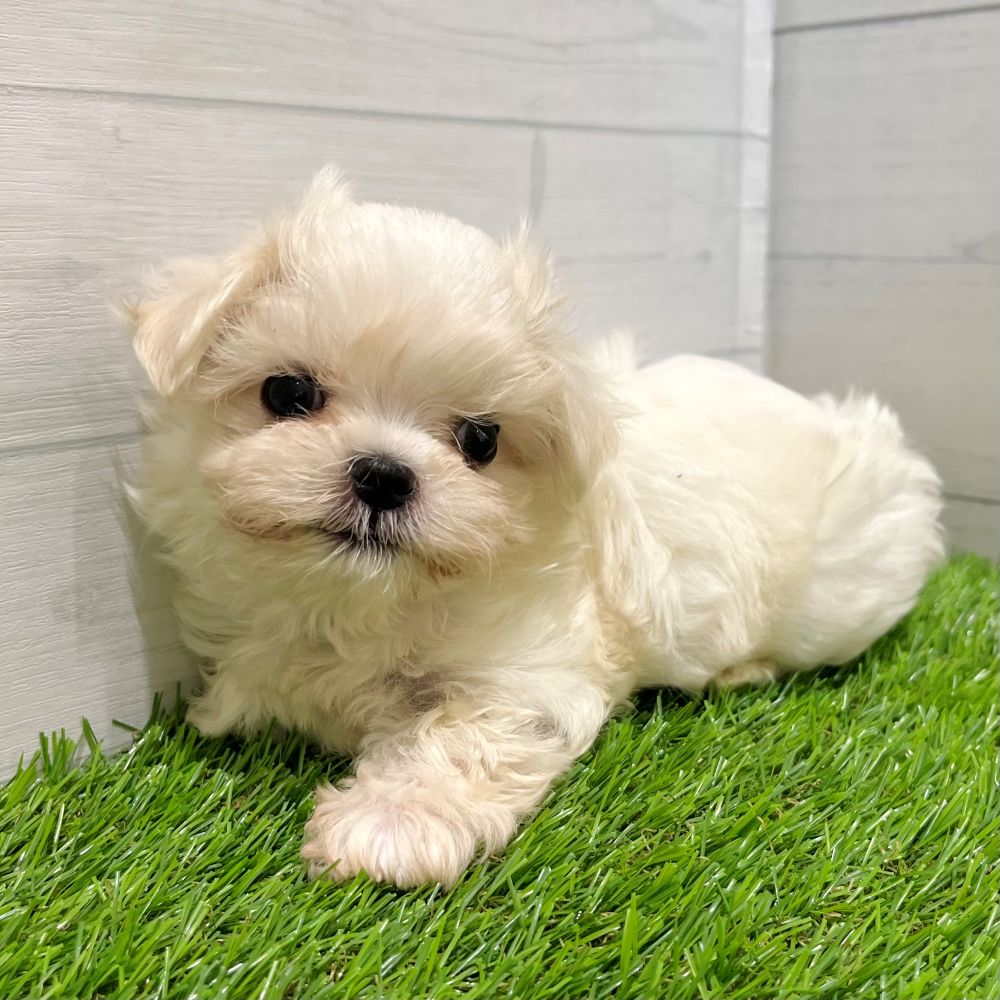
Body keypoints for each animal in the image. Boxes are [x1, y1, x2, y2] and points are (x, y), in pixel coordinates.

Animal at [127, 167, 945, 888]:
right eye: (287, 393)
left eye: (481, 440)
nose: (384, 475)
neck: (355, 605)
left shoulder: (533, 676)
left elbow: (464, 737)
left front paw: (389, 828)